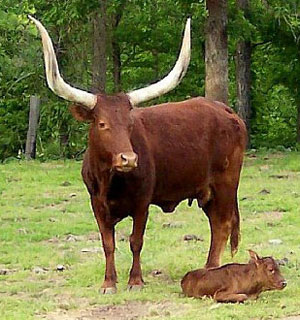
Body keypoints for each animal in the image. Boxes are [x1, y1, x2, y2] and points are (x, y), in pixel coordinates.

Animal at [29, 16, 247, 292]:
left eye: (130, 123)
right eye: (102, 123)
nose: (129, 159)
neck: (110, 181)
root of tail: (227, 112)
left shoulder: (142, 201)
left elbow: (136, 240)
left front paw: (135, 281)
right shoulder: (96, 203)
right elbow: (108, 244)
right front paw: (109, 282)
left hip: (226, 182)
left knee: (223, 224)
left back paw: (211, 270)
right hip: (206, 191)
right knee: (216, 224)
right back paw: (208, 268)